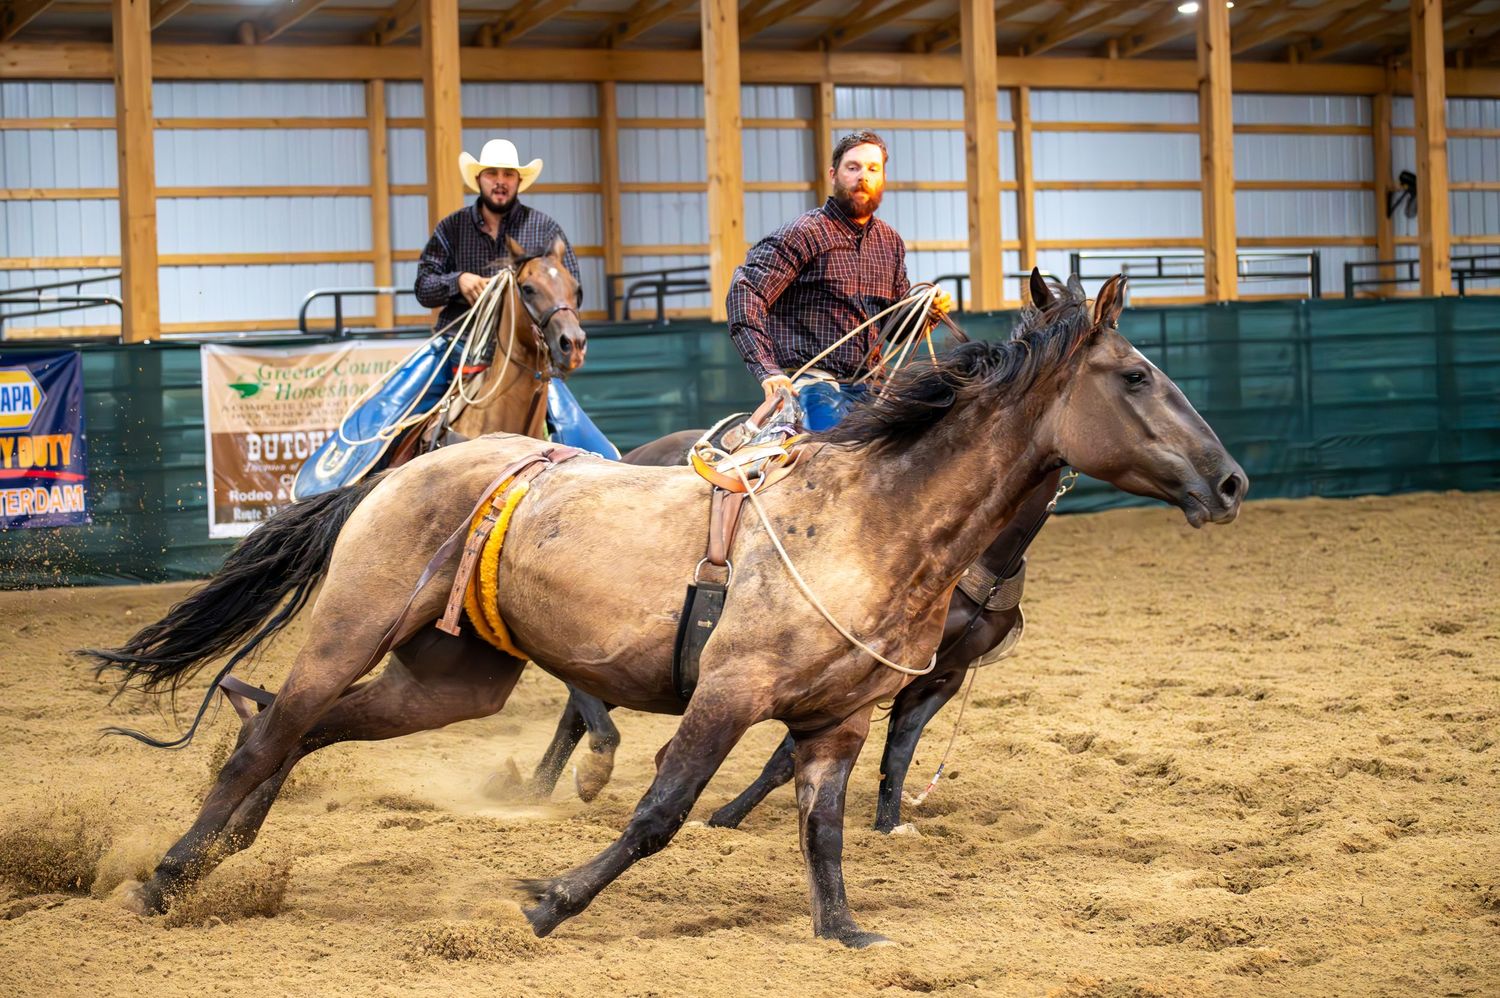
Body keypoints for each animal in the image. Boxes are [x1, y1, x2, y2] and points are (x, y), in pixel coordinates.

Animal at [91, 273, 1246, 948]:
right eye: (1137, 375)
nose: (1231, 482)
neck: (878, 515)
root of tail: (413, 463)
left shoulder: (840, 719)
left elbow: (824, 828)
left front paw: (846, 933)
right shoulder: (728, 692)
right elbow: (661, 813)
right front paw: (551, 899)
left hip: (452, 678)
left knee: (312, 725)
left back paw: (232, 848)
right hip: (353, 624)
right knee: (276, 728)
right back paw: (171, 874)